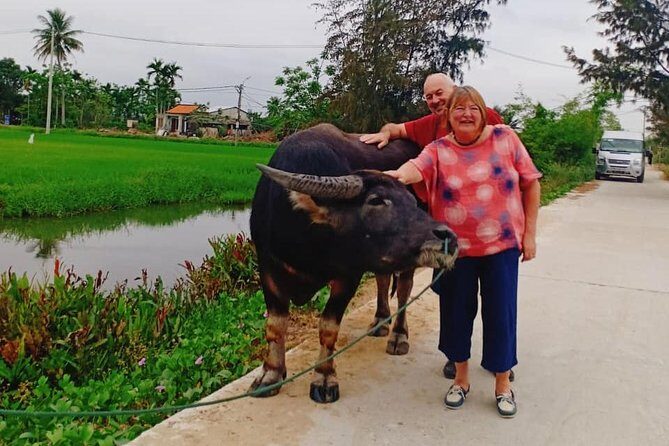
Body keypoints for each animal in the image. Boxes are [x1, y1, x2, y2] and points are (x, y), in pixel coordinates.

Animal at [249, 124, 457, 403]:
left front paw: (324, 378)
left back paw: (398, 336)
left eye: (413, 202)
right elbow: (275, 325)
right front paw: (270, 375)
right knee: (383, 279)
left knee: (404, 290)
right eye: (376, 200)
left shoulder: (349, 274)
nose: (448, 238)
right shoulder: (268, 267)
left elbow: (328, 327)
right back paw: (380, 320)